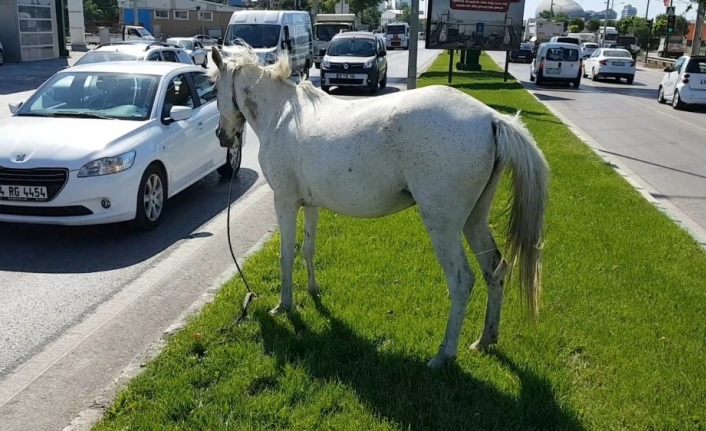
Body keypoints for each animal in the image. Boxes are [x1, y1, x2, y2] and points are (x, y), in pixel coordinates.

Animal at [209, 44, 552, 370]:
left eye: (213, 89)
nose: (222, 137)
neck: (280, 114)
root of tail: (492, 119)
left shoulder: (285, 202)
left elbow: (285, 257)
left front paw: (284, 305)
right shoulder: (311, 205)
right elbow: (308, 249)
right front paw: (313, 290)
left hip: (443, 225)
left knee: (461, 280)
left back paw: (443, 355)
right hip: (475, 219)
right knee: (495, 268)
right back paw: (485, 340)